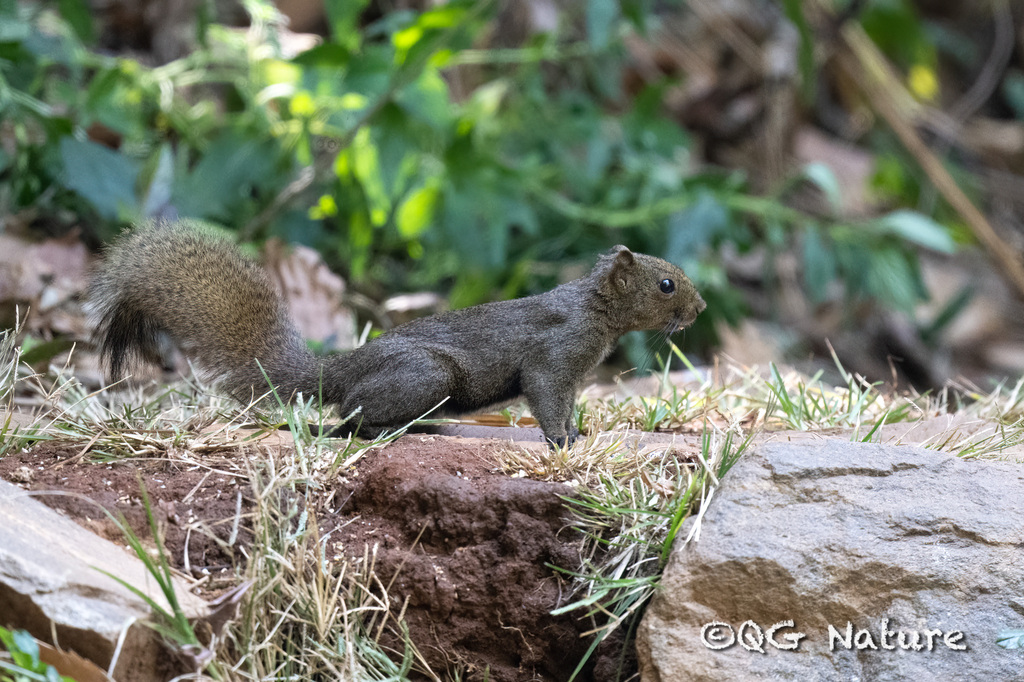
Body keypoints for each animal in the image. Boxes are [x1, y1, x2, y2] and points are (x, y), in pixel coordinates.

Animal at [89, 222, 706, 447]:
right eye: (666, 284)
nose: (699, 308)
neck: (594, 309)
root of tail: (342, 369)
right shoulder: (554, 357)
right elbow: (547, 396)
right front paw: (564, 441)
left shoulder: (575, 374)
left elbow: (571, 403)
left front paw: (580, 430)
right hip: (426, 375)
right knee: (347, 419)